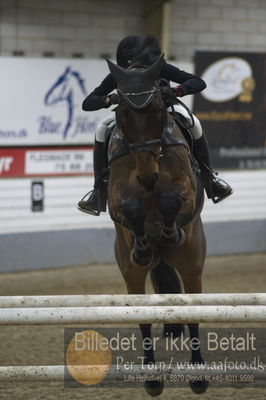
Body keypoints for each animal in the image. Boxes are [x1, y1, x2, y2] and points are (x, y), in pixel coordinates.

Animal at [106, 56, 208, 396]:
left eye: (157, 109)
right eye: (123, 112)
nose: (147, 177)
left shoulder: (187, 188)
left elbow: (174, 199)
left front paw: (168, 229)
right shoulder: (116, 197)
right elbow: (130, 208)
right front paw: (143, 243)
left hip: (192, 263)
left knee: (192, 312)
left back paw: (199, 375)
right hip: (131, 274)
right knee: (144, 318)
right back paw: (152, 376)